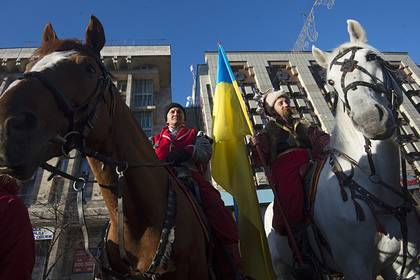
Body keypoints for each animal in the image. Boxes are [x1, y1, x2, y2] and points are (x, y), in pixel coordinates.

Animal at [264, 19, 418, 280]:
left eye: (372, 57)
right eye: (331, 82)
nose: (369, 119)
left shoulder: (405, 267)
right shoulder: (355, 267)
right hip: (281, 267)